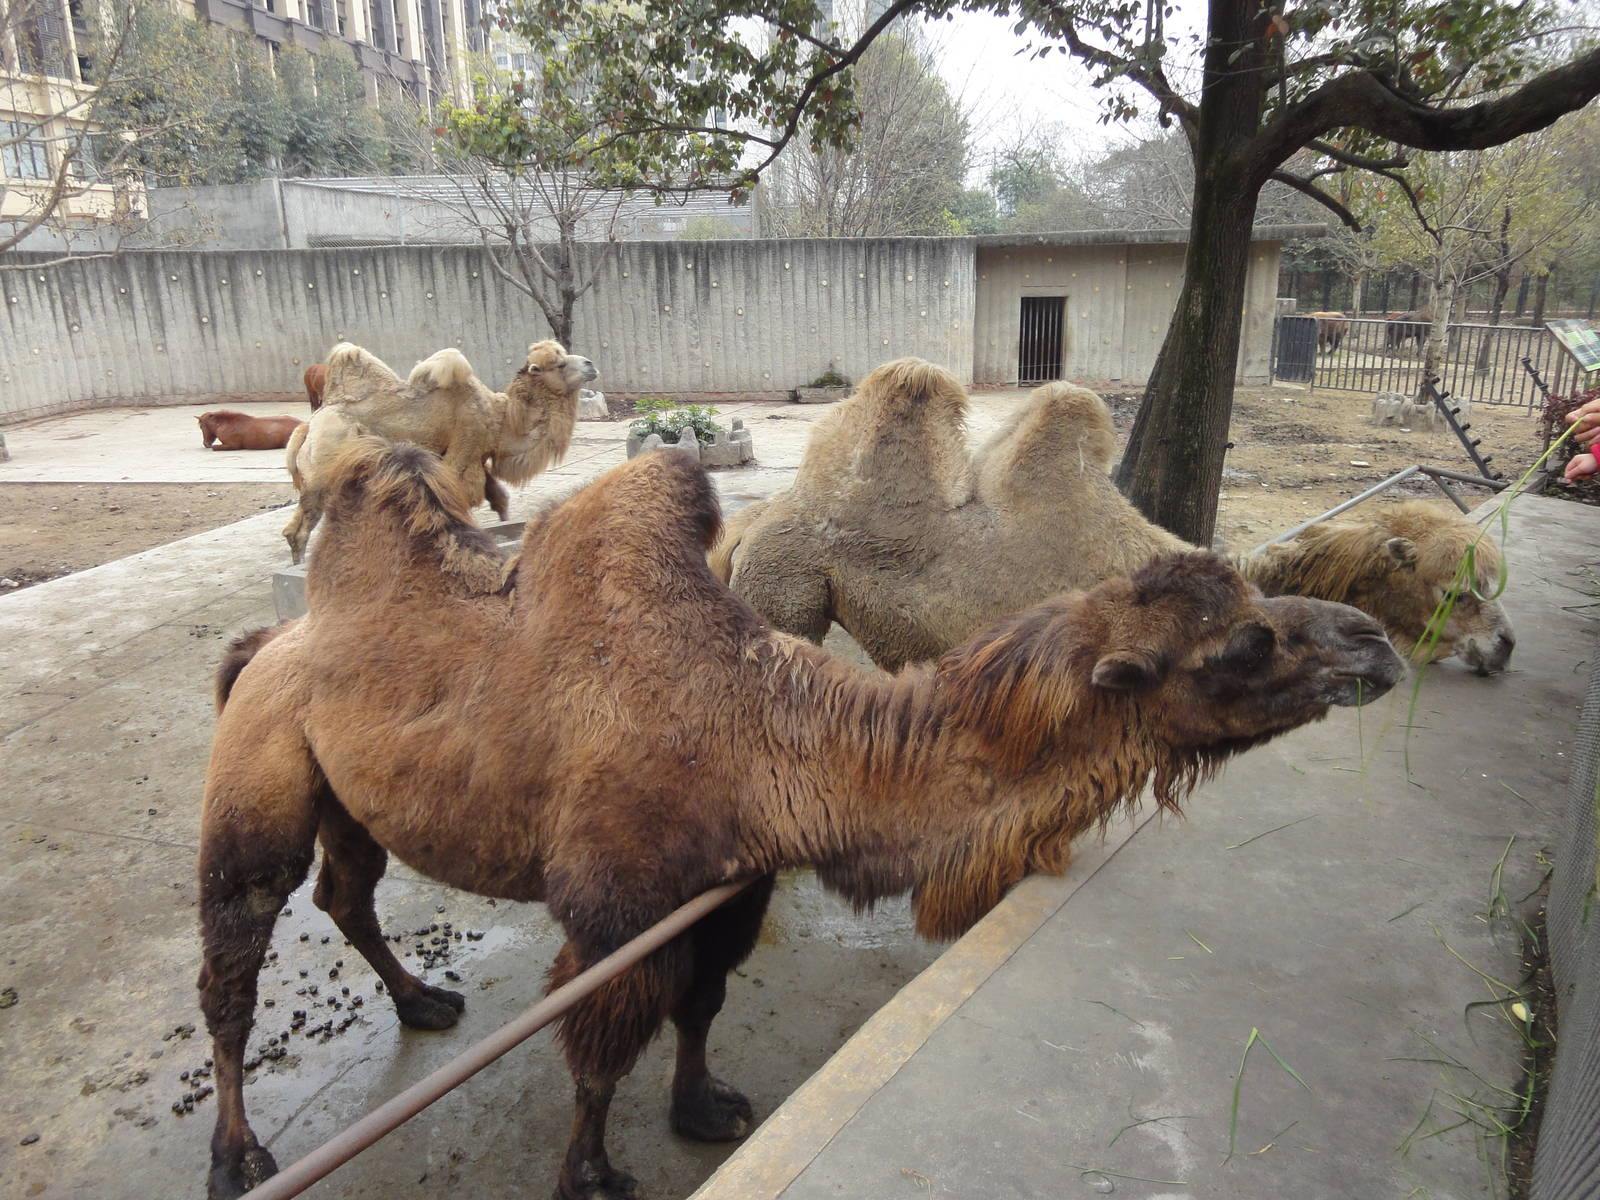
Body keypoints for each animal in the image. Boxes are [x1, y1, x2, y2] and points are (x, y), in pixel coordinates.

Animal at [197, 440, 1403, 1200]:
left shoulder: (734, 879)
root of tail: (263, 644)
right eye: (1244, 643)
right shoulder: (617, 907)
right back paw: (238, 1157)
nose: (1376, 642)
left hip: (344, 790)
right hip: (256, 772)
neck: (753, 733)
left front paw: (704, 1109)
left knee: (345, 891)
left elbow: (702, 1003)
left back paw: (421, 1003)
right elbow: (600, 1049)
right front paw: (592, 1174)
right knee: (238, 953)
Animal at [281, 339, 594, 562]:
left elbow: (499, 498)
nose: (591, 364)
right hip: (323, 470)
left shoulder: (477, 458)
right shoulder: (465, 448)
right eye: (560, 364)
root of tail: (307, 428)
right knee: (299, 528)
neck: (502, 419)